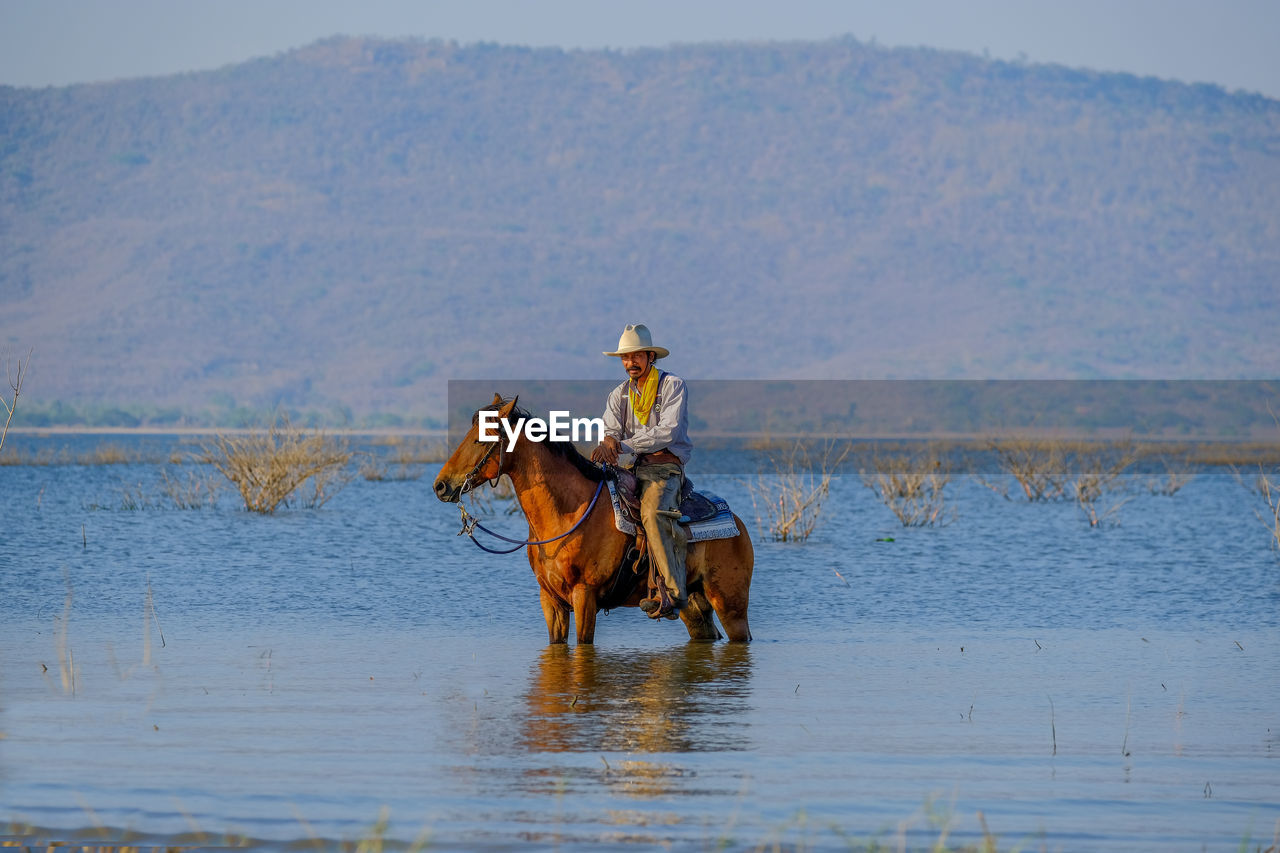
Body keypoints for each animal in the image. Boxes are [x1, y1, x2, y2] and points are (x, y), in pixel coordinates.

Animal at [432, 394, 747, 640]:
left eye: (480, 440)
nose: (441, 486)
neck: (568, 514)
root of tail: (738, 523)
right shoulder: (551, 601)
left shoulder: (585, 596)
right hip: (694, 608)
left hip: (731, 605)